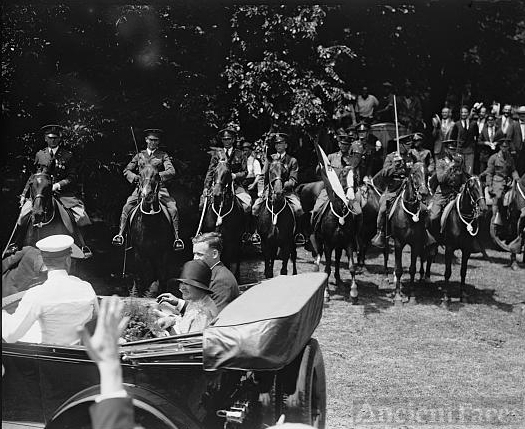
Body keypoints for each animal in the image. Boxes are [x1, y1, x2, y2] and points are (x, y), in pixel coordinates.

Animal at [128, 162, 173, 296]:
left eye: (157, 175)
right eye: (140, 175)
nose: (146, 194)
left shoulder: (163, 252)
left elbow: (161, 275)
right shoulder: (139, 253)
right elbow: (140, 274)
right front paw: (137, 294)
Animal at [312, 166, 360, 302]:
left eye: (355, 177)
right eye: (343, 176)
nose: (350, 197)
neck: (339, 213)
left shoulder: (349, 243)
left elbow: (351, 267)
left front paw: (353, 292)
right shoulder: (328, 245)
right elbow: (327, 269)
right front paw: (326, 293)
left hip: (339, 245)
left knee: (338, 260)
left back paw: (339, 280)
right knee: (320, 254)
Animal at [386, 161, 428, 304]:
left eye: (427, 172)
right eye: (414, 172)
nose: (424, 192)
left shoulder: (416, 244)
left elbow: (412, 269)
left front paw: (412, 295)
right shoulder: (398, 243)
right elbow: (399, 270)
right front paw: (398, 297)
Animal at [424, 175, 486, 304]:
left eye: (483, 186)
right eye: (472, 187)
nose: (484, 208)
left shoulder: (466, 250)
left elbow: (463, 271)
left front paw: (463, 295)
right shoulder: (449, 248)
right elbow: (448, 272)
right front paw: (446, 297)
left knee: (430, 256)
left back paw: (427, 277)